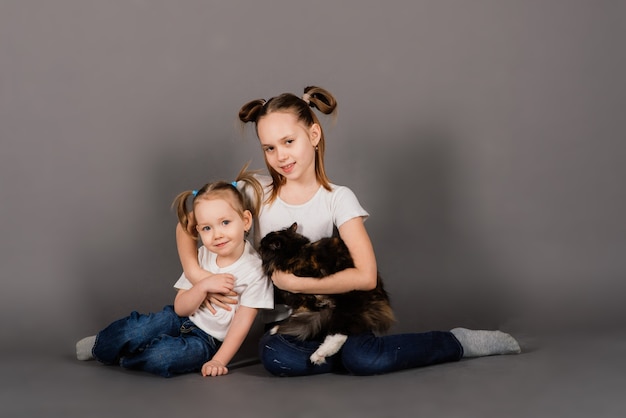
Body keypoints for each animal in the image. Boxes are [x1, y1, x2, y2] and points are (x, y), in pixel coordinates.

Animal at [256, 224, 392, 364]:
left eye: (265, 243)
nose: (260, 242)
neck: (296, 252)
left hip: (347, 305)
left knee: (340, 334)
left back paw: (318, 355)